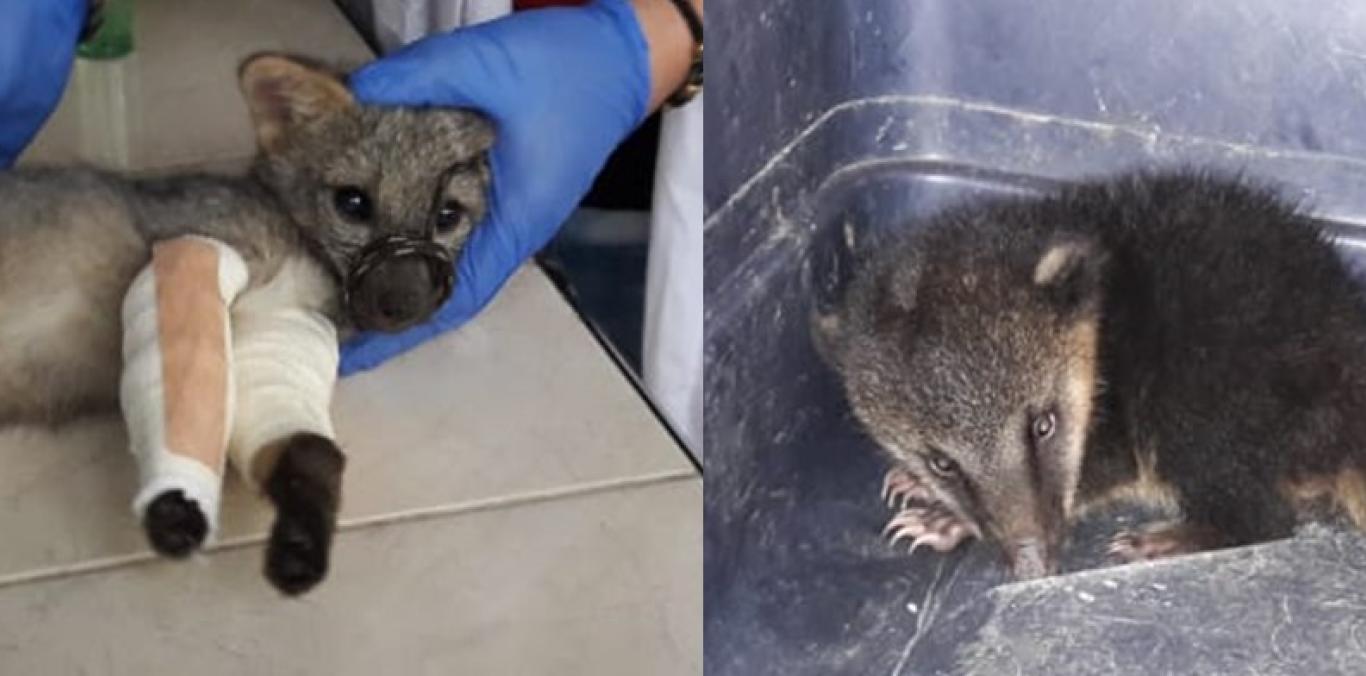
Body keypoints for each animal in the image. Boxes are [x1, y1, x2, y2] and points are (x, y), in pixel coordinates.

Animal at [817, 170, 1366, 580]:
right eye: (942, 463)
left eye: (1043, 425)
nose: (1033, 564)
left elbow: (1104, 466)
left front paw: (949, 518)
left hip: (1226, 373)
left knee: (1250, 499)